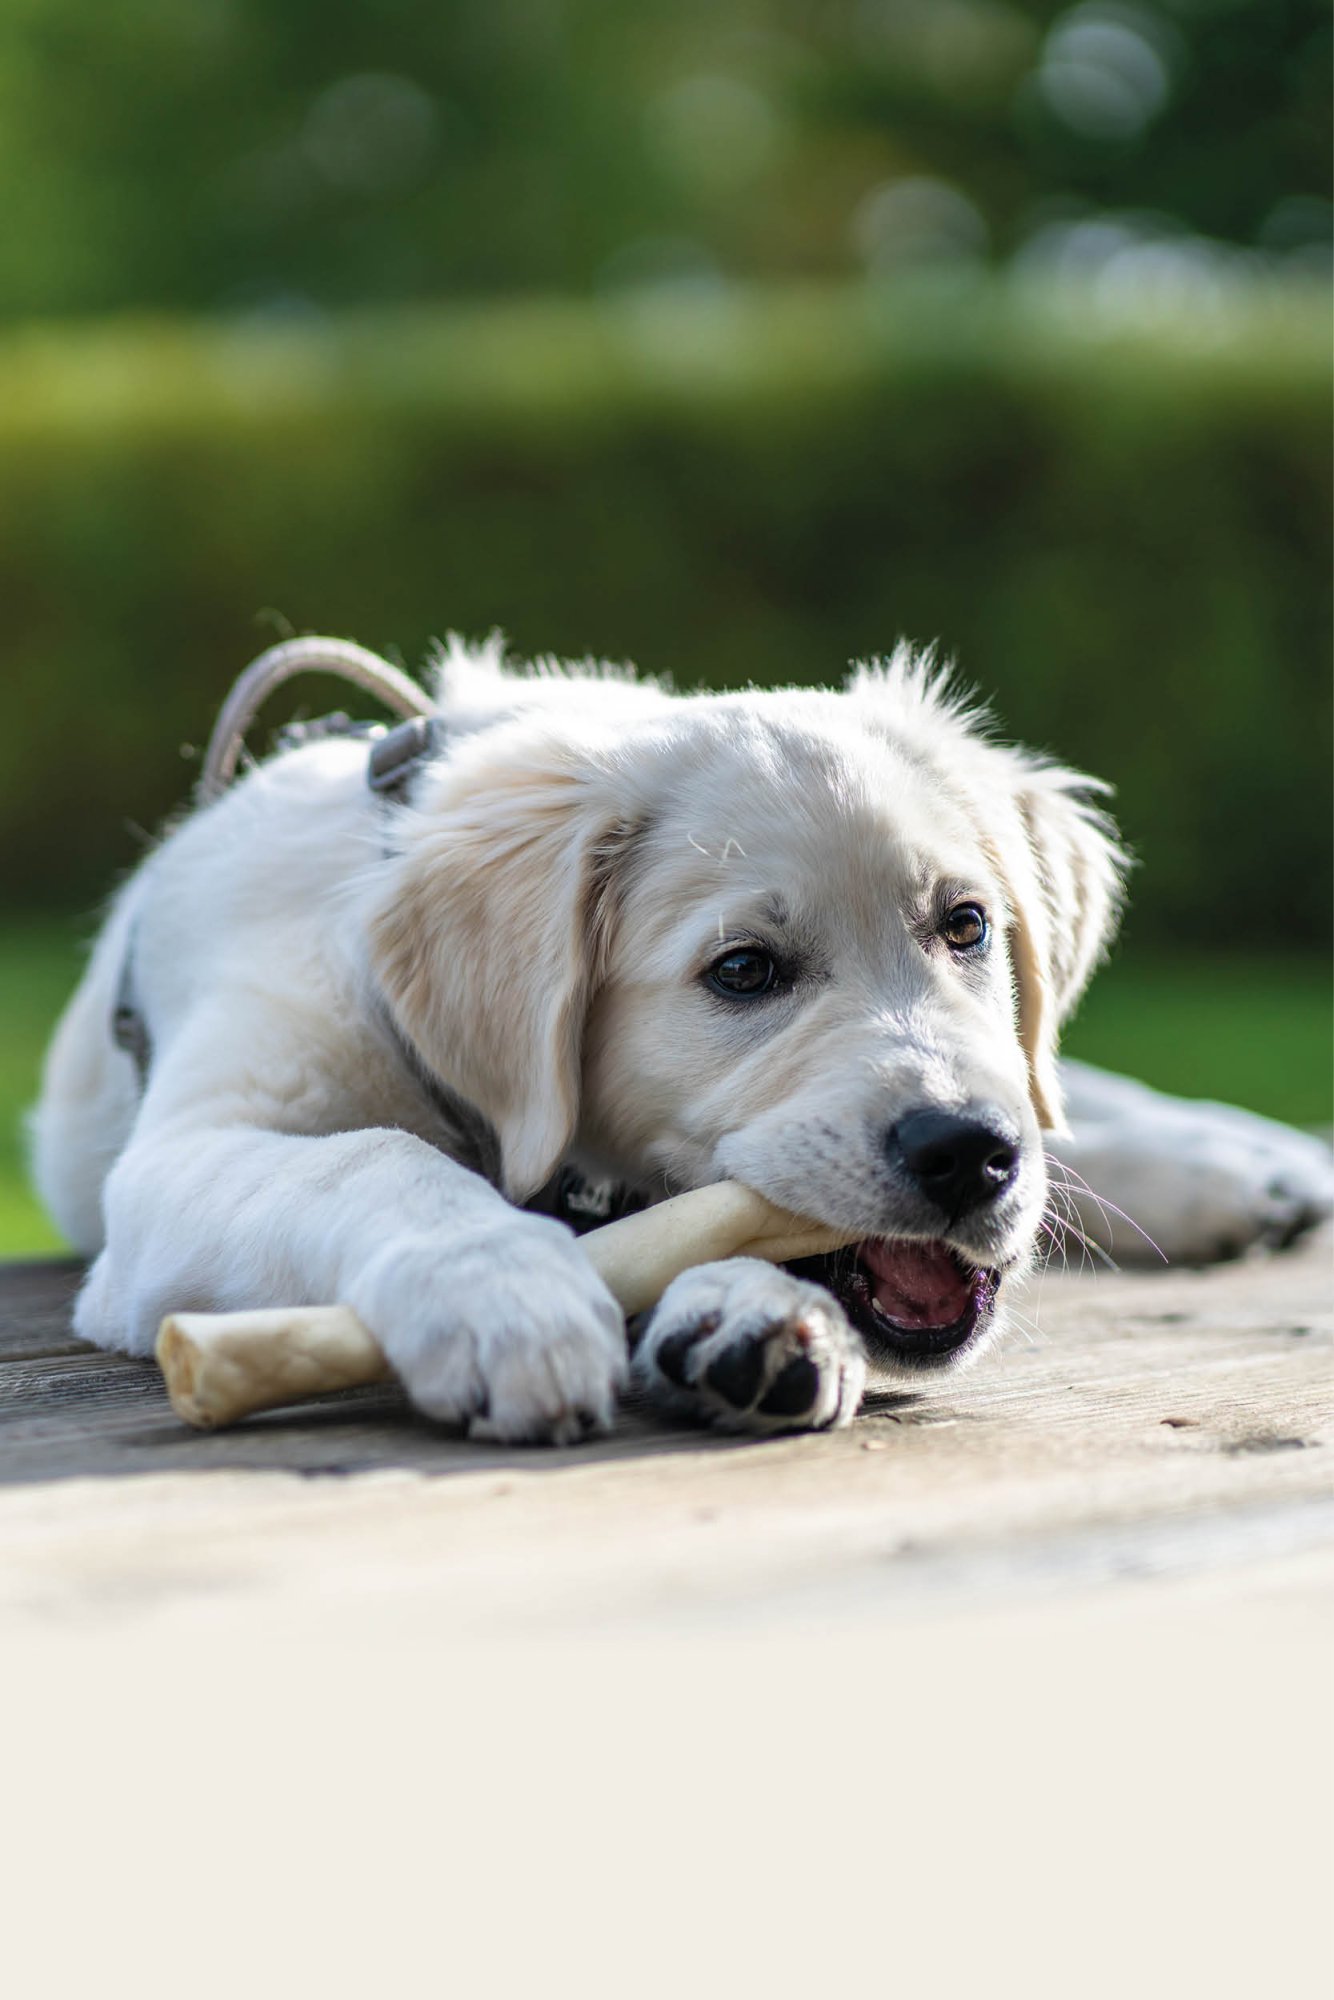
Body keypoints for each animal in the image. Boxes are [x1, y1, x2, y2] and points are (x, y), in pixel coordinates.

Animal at [31, 640, 1334, 1440]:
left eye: (964, 924)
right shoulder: (181, 1155)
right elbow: (371, 1158)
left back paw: (1239, 1162)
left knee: (1067, 1107)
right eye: (742, 971)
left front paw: (735, 1314)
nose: (967, 1152)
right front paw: (503, 1290)